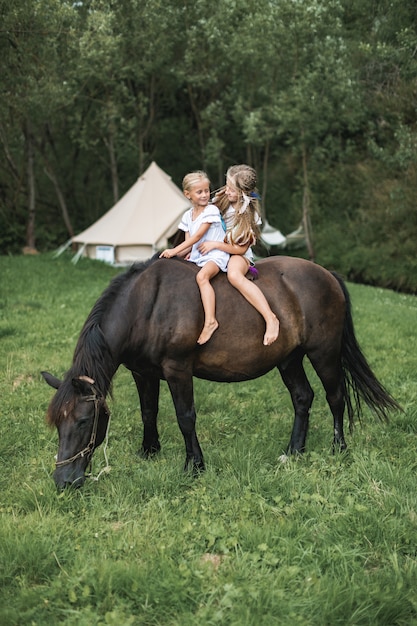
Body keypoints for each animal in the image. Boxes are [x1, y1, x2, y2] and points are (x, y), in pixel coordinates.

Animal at [42, 255, 400, 488]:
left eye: (84, 421)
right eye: (58, 423)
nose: (64, 481)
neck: (147, 305)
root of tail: (328, 274)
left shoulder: (178, 369)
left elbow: (185, 417)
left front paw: (194, 466)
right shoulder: (143, 373)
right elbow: (148, 411)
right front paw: (149, 452)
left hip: (323, 353)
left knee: (335, 396)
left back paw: (338, 448)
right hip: (289, 358)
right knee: (303, 397)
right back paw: (293, 452)